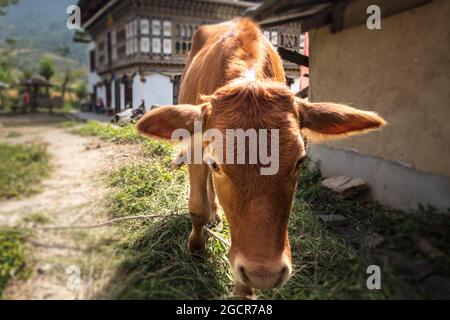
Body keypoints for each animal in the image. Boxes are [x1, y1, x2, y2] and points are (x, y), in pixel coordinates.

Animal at [135, 17, 384, 298]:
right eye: (216, 163)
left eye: (300, 161)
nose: (263, 273)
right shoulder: (198, 148)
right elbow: (197, 208)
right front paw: (196, 248)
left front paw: (244, 289)